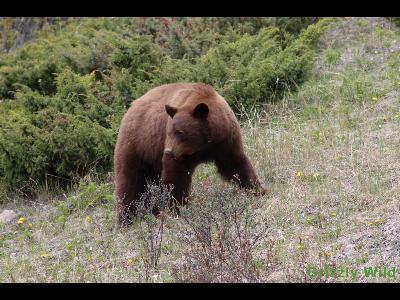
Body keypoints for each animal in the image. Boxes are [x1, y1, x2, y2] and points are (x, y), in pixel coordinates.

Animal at [114, 82, 268, 225]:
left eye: (180, 132)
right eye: (169, 132)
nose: (168, 151)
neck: (204, 144)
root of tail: (131, 108)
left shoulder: (225, 141)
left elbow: (235, 165)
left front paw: (258, 190)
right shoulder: (181, 154)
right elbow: (175, 177)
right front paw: (177, 208)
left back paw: (153, 212)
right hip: (137, 145)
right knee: (130, 182)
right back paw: (126, 219)